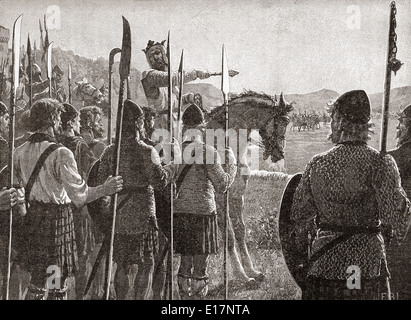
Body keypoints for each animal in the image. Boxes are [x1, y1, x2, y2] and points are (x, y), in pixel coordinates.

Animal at [204, 89, 292, 282]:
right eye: (280, 122)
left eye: (287, 122)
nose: (279, 154)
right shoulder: (220, 198)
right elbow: (229, 234)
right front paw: (240, 274)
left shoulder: (238, 196)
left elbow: (240, 230)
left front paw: (251, 271)